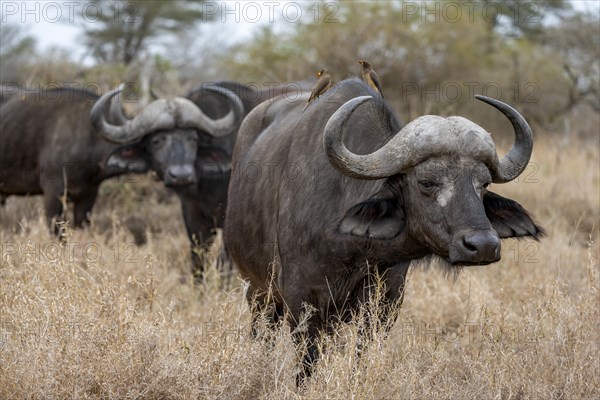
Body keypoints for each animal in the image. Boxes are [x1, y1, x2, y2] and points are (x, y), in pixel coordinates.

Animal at [224, 77, 544, 382]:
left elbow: (362, 355)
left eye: (483, 183)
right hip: (257, 291)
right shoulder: (300, 298)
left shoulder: (386, 300)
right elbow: (308, 361)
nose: (484, 245)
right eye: (426, 182)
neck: (353, 249)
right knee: (263, 334)